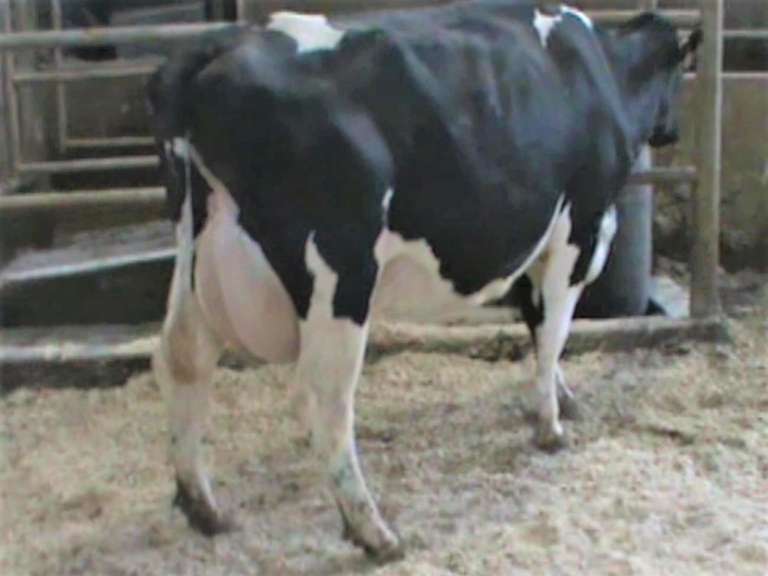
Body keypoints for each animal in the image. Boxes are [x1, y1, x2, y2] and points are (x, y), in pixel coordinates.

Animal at [147, 1, 700, 561]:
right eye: (680, 73)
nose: (674, 132)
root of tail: (213, 51)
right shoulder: (579, 226)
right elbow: (554, 330)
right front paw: (550, 424)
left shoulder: (532, 239)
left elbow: (538, 321)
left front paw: (561, 396)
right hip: (340, 273)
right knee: (323, 397)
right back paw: (374, 532)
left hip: (194, 248)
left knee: (183, 359)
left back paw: (204, 507)